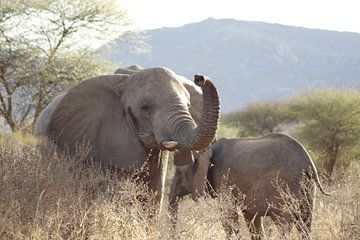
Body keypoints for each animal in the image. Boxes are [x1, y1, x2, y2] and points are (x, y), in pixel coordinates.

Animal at [169, 133, 332, 240]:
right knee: (305, 223)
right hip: (306, 186)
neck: (208, 147)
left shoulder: (223, 177)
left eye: (178, 172)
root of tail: (308, 162)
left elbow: (228, 216)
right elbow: (251, 218)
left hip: (286, 186)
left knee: (284, 223)